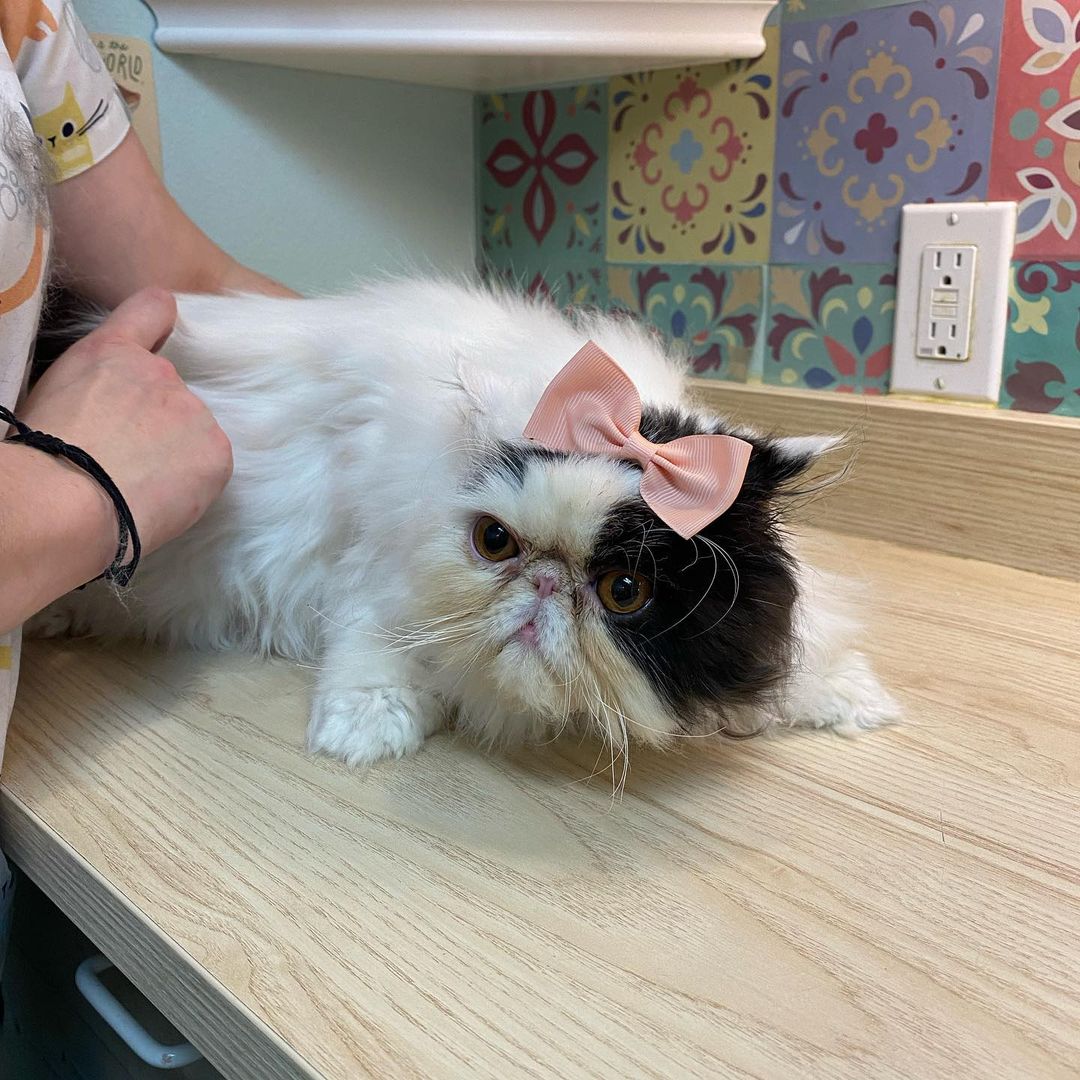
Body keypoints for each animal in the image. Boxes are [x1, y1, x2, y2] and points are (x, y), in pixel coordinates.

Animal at [33, 278, 898, 768]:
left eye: (624, 591)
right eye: (494, 544)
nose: (544, 585)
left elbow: (805, 655)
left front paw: (852, 700)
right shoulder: (369, 574)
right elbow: (370, 657)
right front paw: (363, 736)